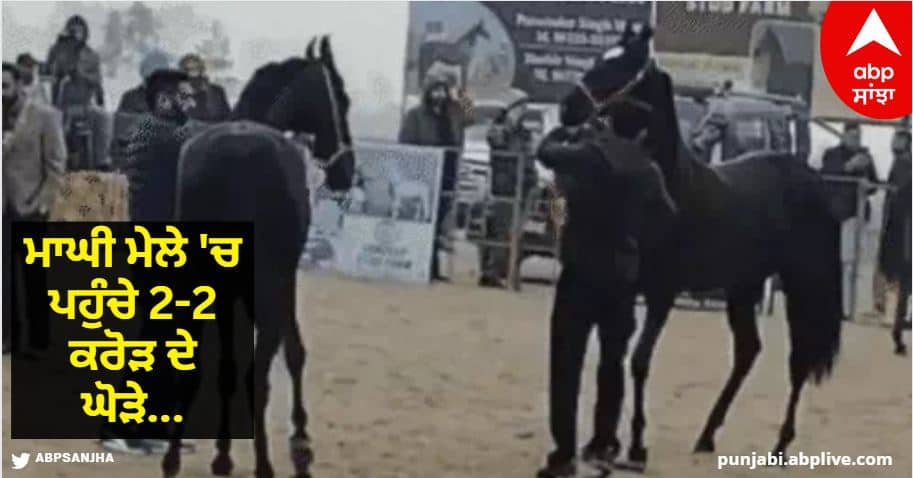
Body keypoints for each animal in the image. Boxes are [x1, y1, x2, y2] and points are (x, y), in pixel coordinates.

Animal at [163, 36, 355, 478]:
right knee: (262, 366)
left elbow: (227, 363)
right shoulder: (284, 278)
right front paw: (300, 444)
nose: (348, 171)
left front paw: (222, 453)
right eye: (342, 97)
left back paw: (175, 457)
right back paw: (265, 462)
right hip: (265, 281)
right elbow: (293, 351)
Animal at [559, 23, 853, 471]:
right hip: (743, 287)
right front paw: (608, 444)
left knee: (799, 358)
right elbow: (619, 357)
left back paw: (780, 446)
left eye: (621, 67)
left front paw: (636, 448)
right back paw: (706, 436)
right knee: (748, 351)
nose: (566, 108)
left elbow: (640, 361)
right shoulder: (628, 290)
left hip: (802, 282)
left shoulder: (662, 292)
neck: (668, 187)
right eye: (598, 59)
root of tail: (812, 178)